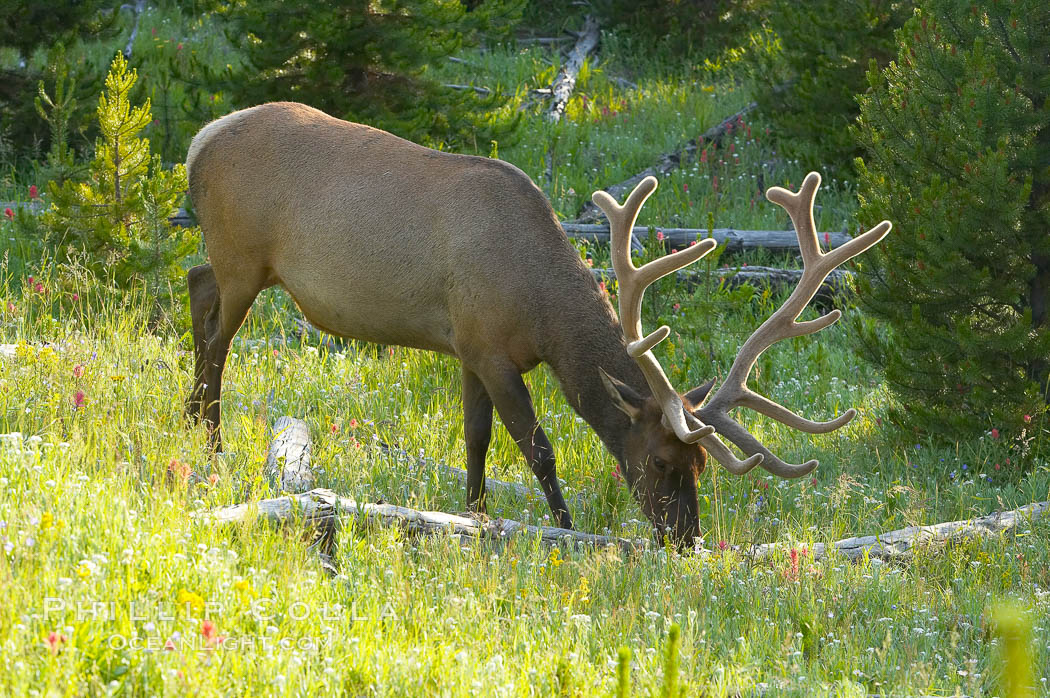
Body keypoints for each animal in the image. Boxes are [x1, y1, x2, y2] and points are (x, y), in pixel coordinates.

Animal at [184, 100, 890, 545]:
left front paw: (473, 517)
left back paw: (191, 424)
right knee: (219, 340)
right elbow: (537, 447)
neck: (541, 310)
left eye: (701, 467)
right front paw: (565, 528)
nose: (686, 538)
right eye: (661, 461)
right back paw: (210, 440)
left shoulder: (467, 347)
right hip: (243, 256)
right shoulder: (492, 351)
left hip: (234, 260)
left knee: (195, 285)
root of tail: (198, 141)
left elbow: (475, 441)